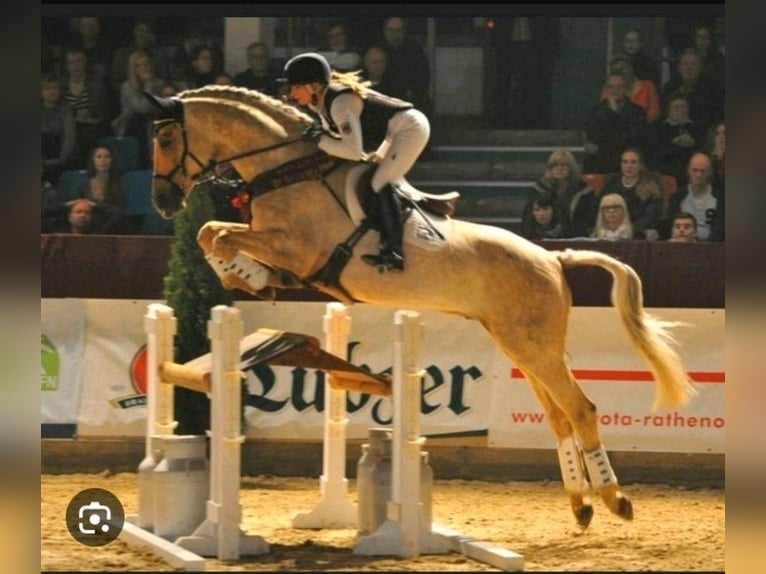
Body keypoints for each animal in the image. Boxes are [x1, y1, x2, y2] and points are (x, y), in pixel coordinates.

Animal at [147, 85, 700, 532]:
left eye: (167, 140)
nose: (162, 202)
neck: (286, 169)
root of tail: (552, 258)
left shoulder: (295, 247)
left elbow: (216, 234)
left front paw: (245, 274)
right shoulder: (281, 246)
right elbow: (210, 232)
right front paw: (248, 276)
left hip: (534, 346)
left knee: (580, 409)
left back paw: (613, 499)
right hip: (523, 346)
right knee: (560, 417)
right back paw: (581, 506)